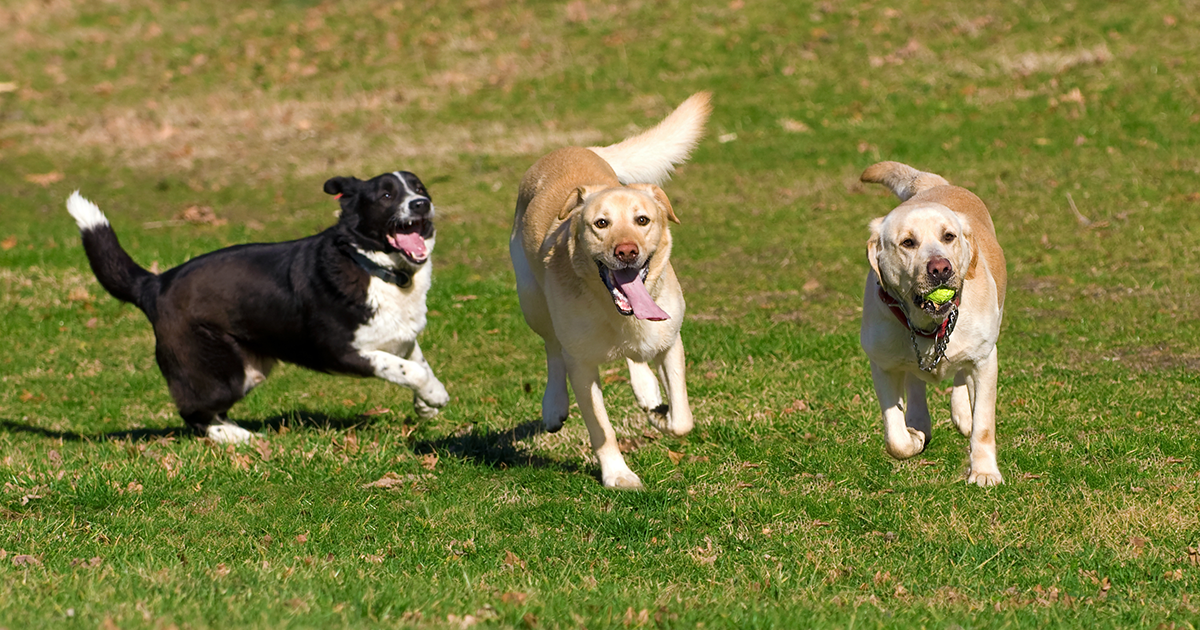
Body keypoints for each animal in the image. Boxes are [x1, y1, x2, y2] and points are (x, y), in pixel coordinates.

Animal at [66, 169, 451, 439]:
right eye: (386, 194)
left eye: (419, 188)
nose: (421, 204)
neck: (376, 268)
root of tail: (155, 284)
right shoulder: (343, 351)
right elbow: (411, 370)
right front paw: (434, 395)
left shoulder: (400, 337)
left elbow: (417, 362)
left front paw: (426, 403)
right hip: (224, 374)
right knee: (193, 412)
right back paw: (235, 436)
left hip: (249, 369)